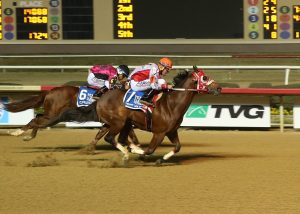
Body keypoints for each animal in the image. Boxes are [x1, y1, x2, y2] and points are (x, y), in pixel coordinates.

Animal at [3, 86, 139, 146]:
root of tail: (50, 91)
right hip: (54, 115)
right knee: (35, 119)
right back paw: (17, 132)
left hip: (51, 114)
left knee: (38, 118)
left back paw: (29, 136)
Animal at [41, 66, 220, 163]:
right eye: (205, 77)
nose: (218, 88)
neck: (171, 104)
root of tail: (100, 98)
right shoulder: (159, 132)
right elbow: (149, 150)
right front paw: (135, 151)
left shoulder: (171, 131)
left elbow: (177, 147)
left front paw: (160, 159)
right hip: (118, 122)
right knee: (110, 138)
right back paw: (127, 153)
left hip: (121, 123)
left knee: (112, 137)